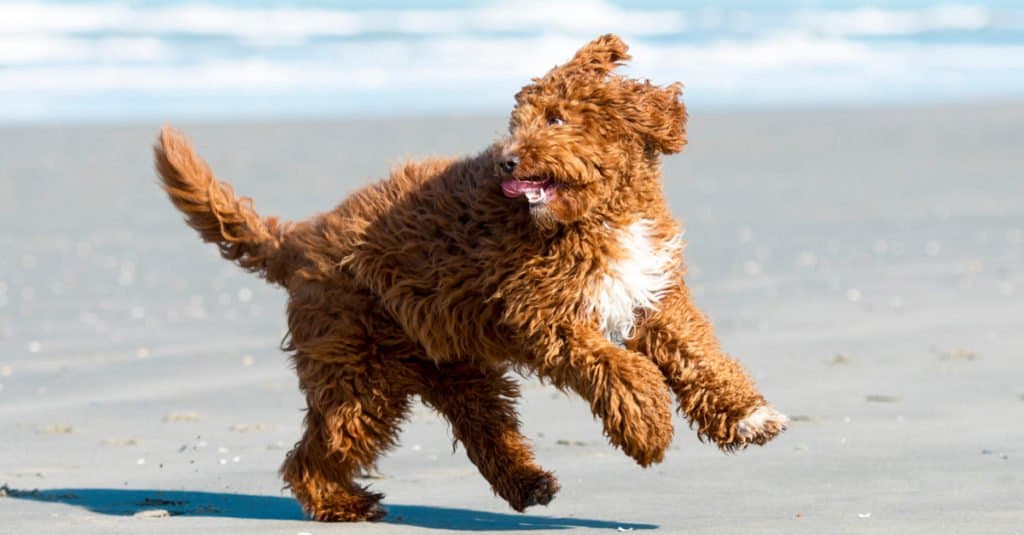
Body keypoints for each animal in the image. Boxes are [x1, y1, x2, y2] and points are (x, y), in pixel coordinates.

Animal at [155, 34, 786, 520]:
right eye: (516, 122)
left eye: (556, 117)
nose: (507, 160)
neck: (596, 215)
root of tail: (303, 238)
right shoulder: (547, 315)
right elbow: (619, 367)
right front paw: (649, 426)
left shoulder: (652, 296)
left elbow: (698, 355)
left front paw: (747, 417)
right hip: (359, 376)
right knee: (315, 450)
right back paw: (341, 503)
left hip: (453, 368)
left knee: (484, 427)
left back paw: (526, 483)